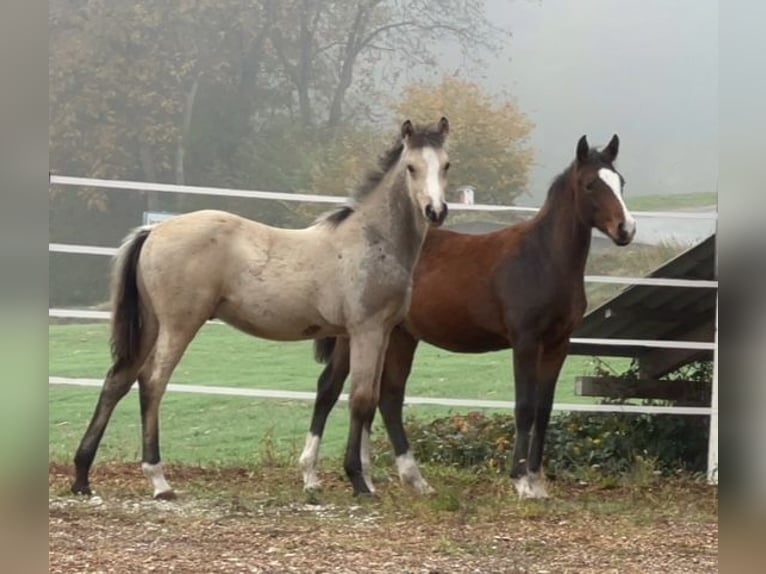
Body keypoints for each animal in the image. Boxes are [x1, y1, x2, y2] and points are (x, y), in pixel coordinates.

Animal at [69, 116, 452, 500]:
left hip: (150, 325)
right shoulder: (365, 331)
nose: (436, 211)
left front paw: (361, 478)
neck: (372, 239)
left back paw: (82, 477)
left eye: (446, 165)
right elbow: (361, 399)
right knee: (152, 382)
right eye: (411, 167)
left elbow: (366, 400)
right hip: (178, 326)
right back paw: (158, 480)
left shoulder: (378, 332)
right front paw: (358, 481)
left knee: (117, 381)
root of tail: (153, 230)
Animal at [304, 134, 640, 500]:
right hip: (357, 337)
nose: (626, 229)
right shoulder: (525, 341)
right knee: (331, 388)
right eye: (591, 184)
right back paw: (313, 476)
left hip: (398, 336)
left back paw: (405, 479)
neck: (542, 259)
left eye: (621, 182)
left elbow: (544, 409)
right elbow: (525, 407)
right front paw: (521, 482)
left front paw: (537, 481)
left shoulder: (557, 344)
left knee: (385, 396)